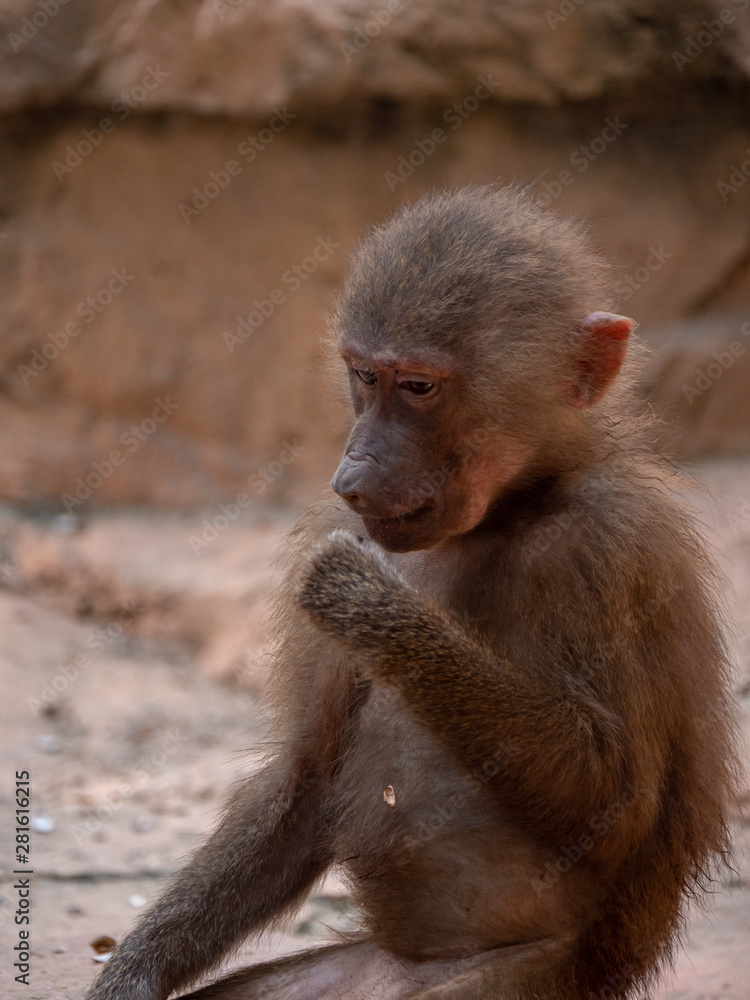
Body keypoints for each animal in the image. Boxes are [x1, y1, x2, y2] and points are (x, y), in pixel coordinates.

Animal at [84, 185, 738, 1000]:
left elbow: (617, 803)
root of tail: (401, 966)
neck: (507, 509)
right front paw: (128, 978)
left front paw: (371, 608)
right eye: (364, 375)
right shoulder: (342, 523)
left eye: (420, 387)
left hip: (524, 978)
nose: (353, 473)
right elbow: (307, 777)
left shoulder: (613, 547)